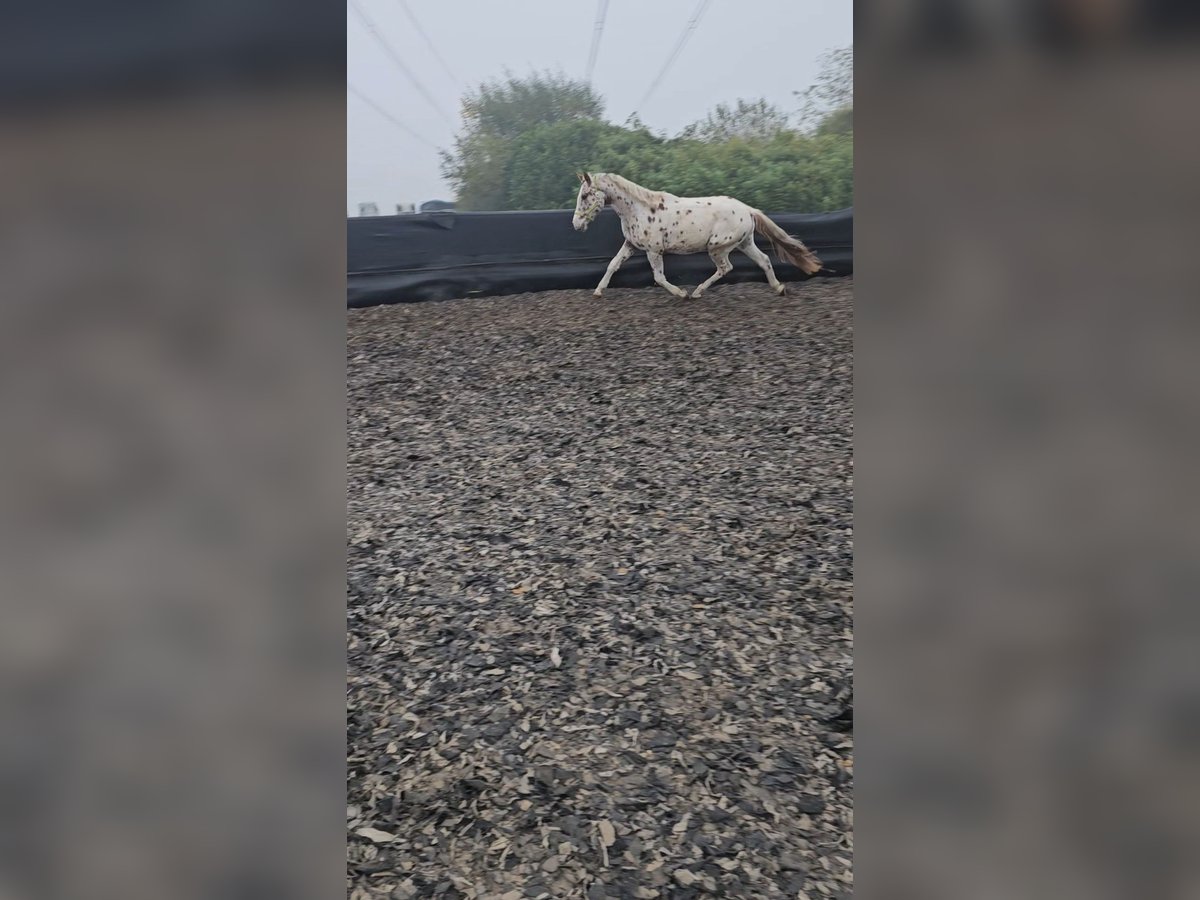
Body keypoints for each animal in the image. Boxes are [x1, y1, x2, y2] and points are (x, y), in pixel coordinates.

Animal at [573, 172, 825, 303]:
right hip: (745, 243)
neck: (640, 209)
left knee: (726, 268)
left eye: (585, 195)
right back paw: (779, 288)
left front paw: (681, 293)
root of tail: (748, 210)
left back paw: (696, 292)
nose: (576, 224)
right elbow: (613, 265)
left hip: (718, 247)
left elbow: (659, 277)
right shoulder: (631, 245)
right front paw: (598, 291)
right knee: (763, 260)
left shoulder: (654, 250)